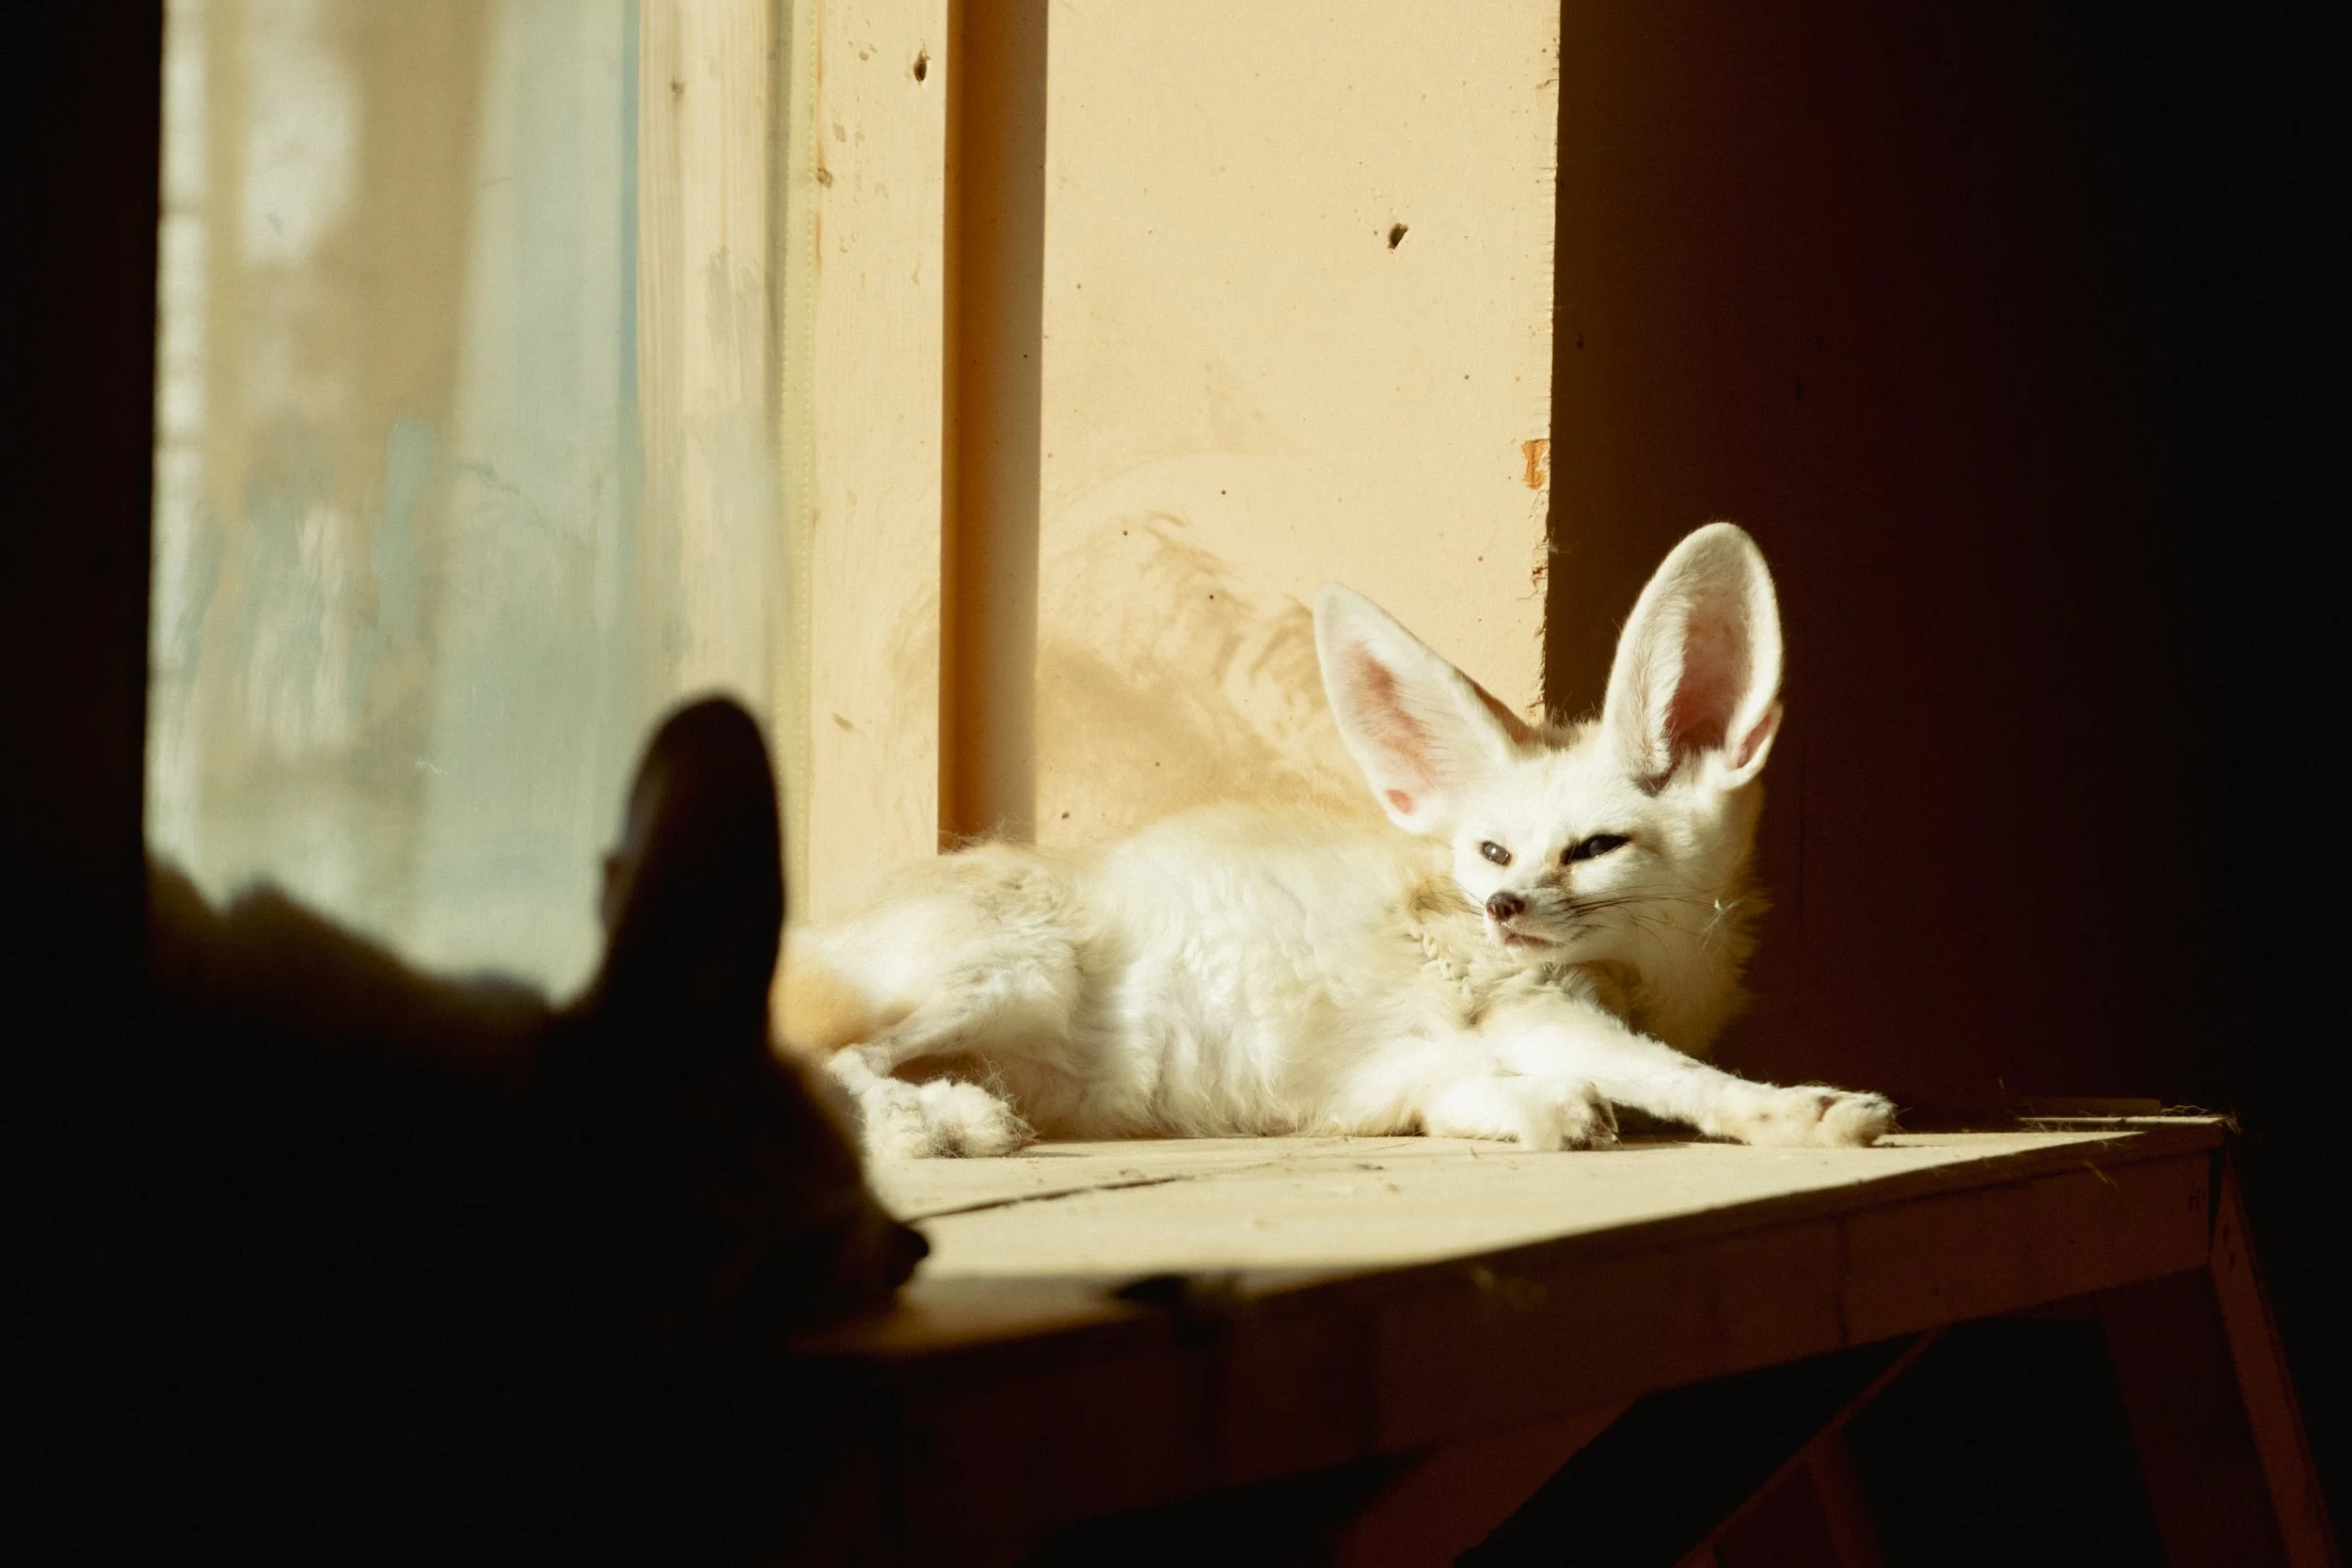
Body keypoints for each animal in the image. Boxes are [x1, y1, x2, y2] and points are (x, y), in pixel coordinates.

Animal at [779, 523, 1895, 1158]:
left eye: (1592, 847)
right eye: (1492, 854)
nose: (1501, 907)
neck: (1650, 976)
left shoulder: (1431, 1069)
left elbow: (1516, 1103)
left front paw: (1548, 1112)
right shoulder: (1530, 1008)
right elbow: (1672, 1077)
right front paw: (1801, 1110)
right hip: (1016, 973)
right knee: (828, 1054)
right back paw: (931, 1124)